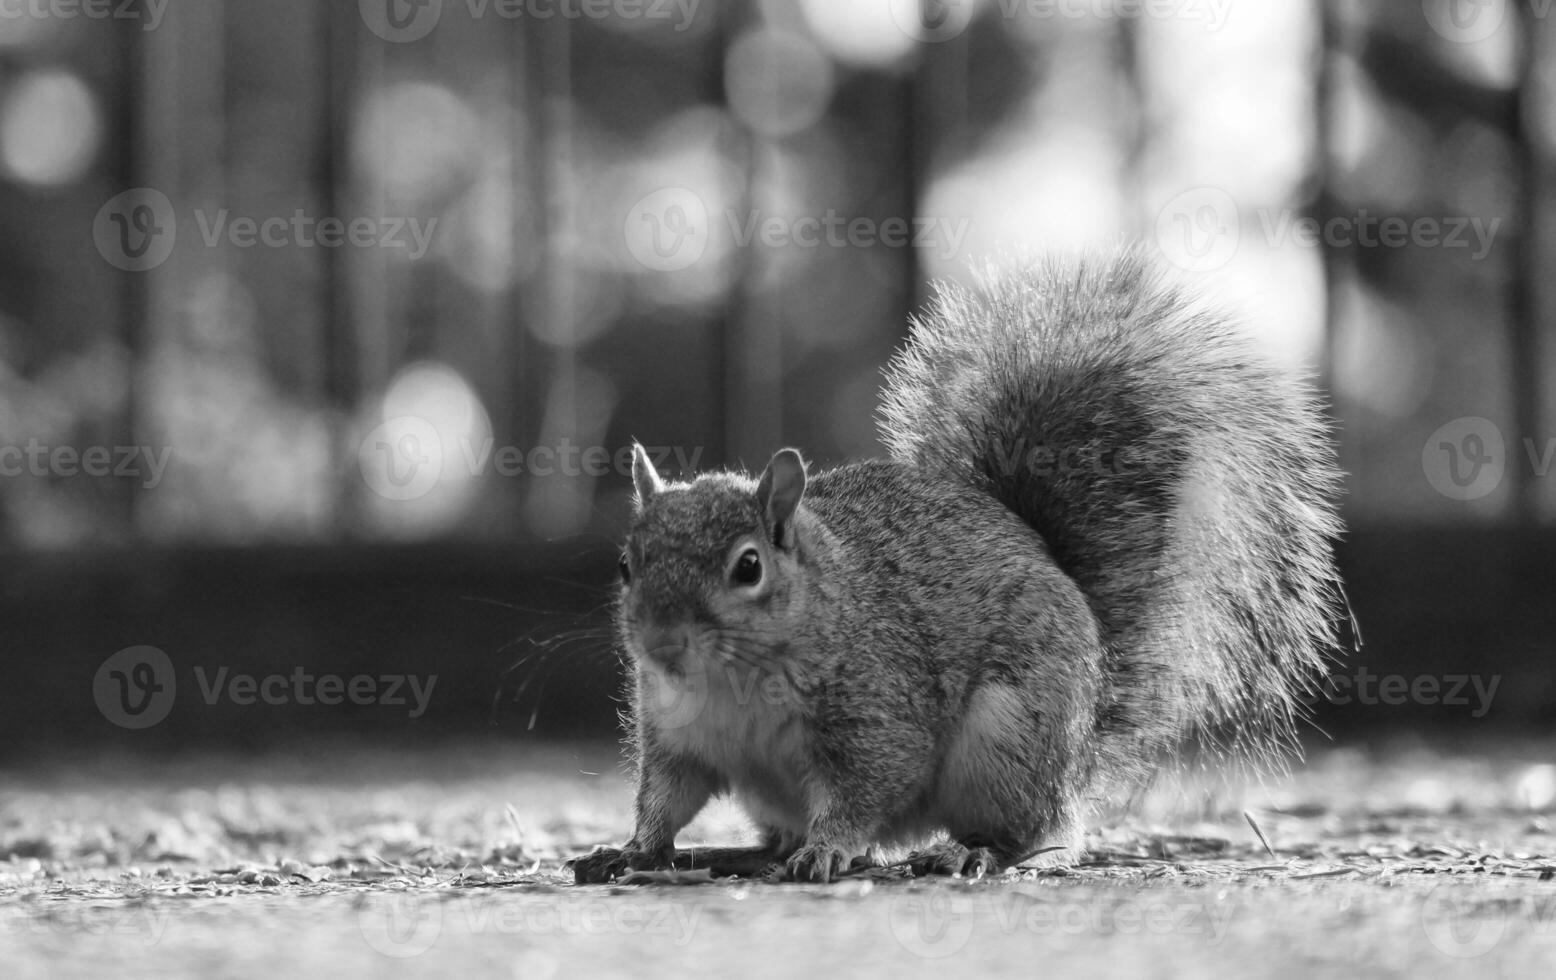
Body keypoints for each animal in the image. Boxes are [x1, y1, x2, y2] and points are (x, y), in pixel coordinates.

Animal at [566, 248, 1344, 889]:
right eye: (627, 564)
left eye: (748, 567)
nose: (661, 644)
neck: (735, 676)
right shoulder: (676, 734)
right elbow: (666, 797)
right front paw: (633, 850)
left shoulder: (878, 713)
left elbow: (866, 790)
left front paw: (828, 850)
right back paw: (733, 854)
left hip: (1009, 737)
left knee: (1047, 831)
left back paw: (975, 855)